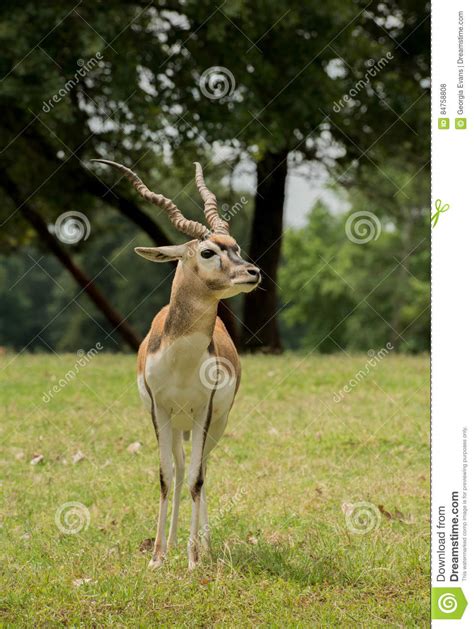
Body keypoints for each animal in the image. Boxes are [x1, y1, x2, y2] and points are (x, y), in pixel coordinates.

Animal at [91, 158, 262, 568]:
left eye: (235, 246)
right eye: (208, 252)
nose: (253, 272)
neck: (182, 363)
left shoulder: (204, 410)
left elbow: (198, 479)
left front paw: (194, 559)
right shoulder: (159, 410)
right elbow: (166, 477)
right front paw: (156, 557)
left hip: (214, 424)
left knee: (202, 470)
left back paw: (203, 546)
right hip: (176, 425)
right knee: (181, 468)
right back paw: (170, 543)